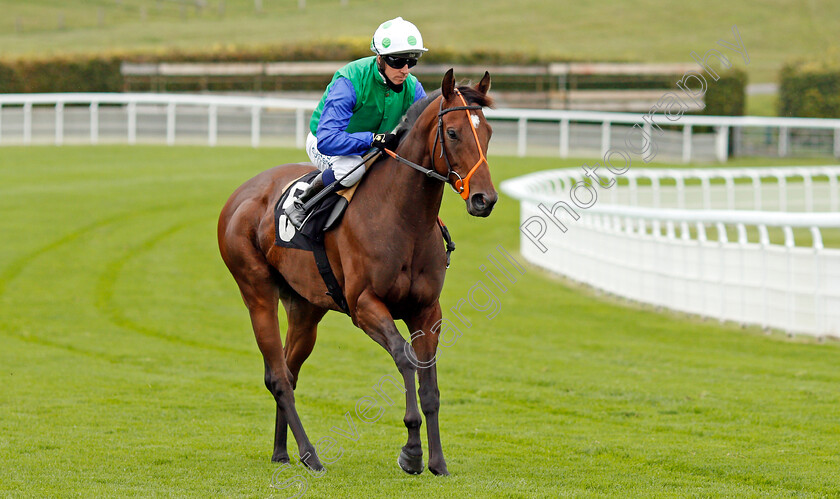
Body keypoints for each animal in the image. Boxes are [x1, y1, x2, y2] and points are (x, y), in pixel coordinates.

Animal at [218, 69, 498, 476]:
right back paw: (311, 454)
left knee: (288, 370)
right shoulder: (364, 305)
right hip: (257, 293)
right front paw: (411, 452)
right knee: (278, 377)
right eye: (453, 132)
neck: (404, 219)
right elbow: (404, 357)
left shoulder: (428, 310)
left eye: (488, 131)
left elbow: (429, 385)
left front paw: (438, 463)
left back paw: (283, 451)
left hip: (306, 309)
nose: (484, 199)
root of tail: (238, 195)